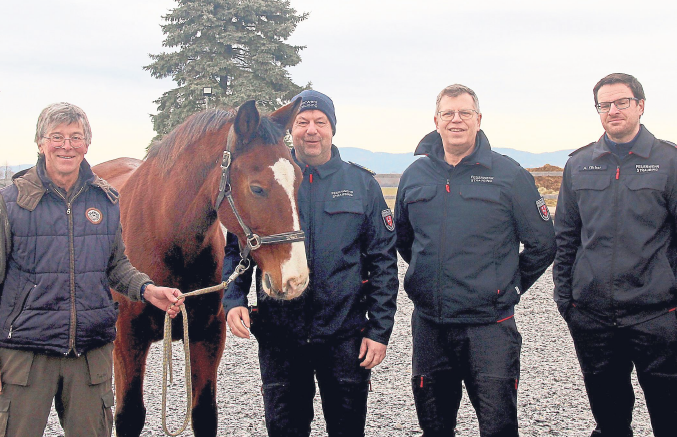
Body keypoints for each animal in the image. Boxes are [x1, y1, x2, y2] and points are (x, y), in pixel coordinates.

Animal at [92, 99, 308, 436]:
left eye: (298, 178)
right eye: (257, 188)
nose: (296, 278)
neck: (163, 232)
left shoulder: (208, 336)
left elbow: (204, 413)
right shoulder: (127, 339)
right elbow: (128, 415)